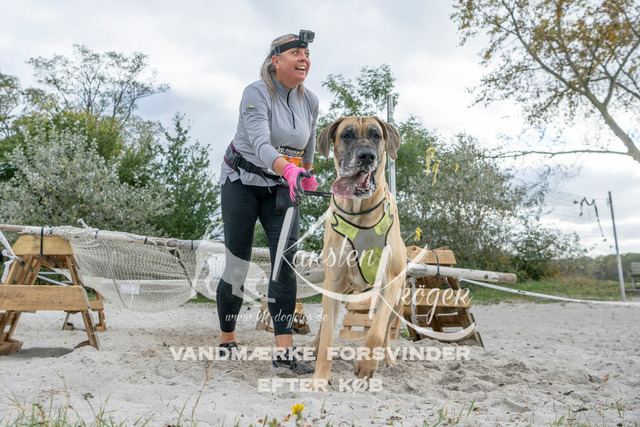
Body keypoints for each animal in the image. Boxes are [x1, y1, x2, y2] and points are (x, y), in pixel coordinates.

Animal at [309, 116, 406, 390]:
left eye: (376, 136)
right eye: (347, 135)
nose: (366, 156)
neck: (360, 212)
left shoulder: (390, 280)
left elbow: (376, 331)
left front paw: (366, 364)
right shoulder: (333, 280)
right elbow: (328, 337)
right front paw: (319, 380)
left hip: (399, 299)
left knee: (386, 332)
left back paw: (387, 360)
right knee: (325, 326)